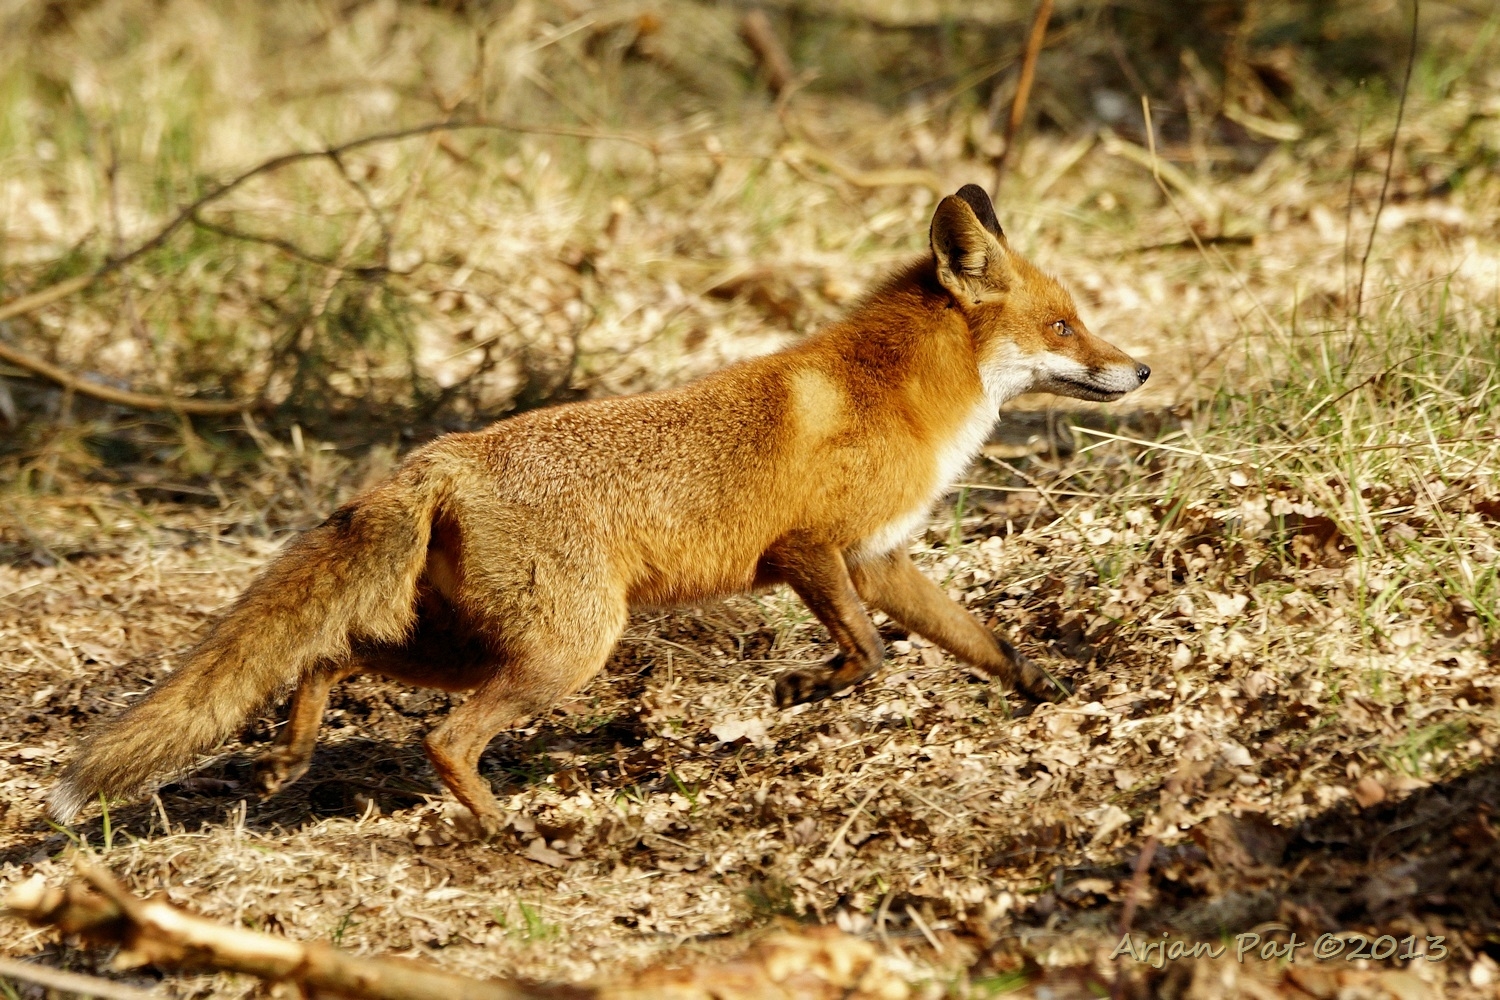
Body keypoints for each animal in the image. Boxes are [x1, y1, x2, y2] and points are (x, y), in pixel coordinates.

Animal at [47, 184, 1148, 835]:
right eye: (1063, 325)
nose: (1138, 369)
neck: (900, 394)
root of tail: (441, 456)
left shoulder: (876, 558)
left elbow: (975, 639)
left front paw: (1044, 687)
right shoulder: (808, 550)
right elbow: (870, 654)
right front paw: (802, 690)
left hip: (485, 643)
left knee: (332, 652)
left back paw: (293, 753)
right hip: (566, 650)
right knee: (440, 738)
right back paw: (502, 832)